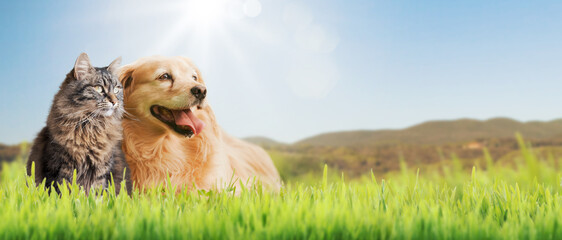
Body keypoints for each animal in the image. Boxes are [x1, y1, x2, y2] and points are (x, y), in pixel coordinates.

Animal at [26, 52, 132, 195]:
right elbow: (62, 192)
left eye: (116, 90)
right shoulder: (59, 168)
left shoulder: (101, 171)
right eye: (98, 88)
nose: (115, 102)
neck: (90, 127)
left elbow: (96, 194)